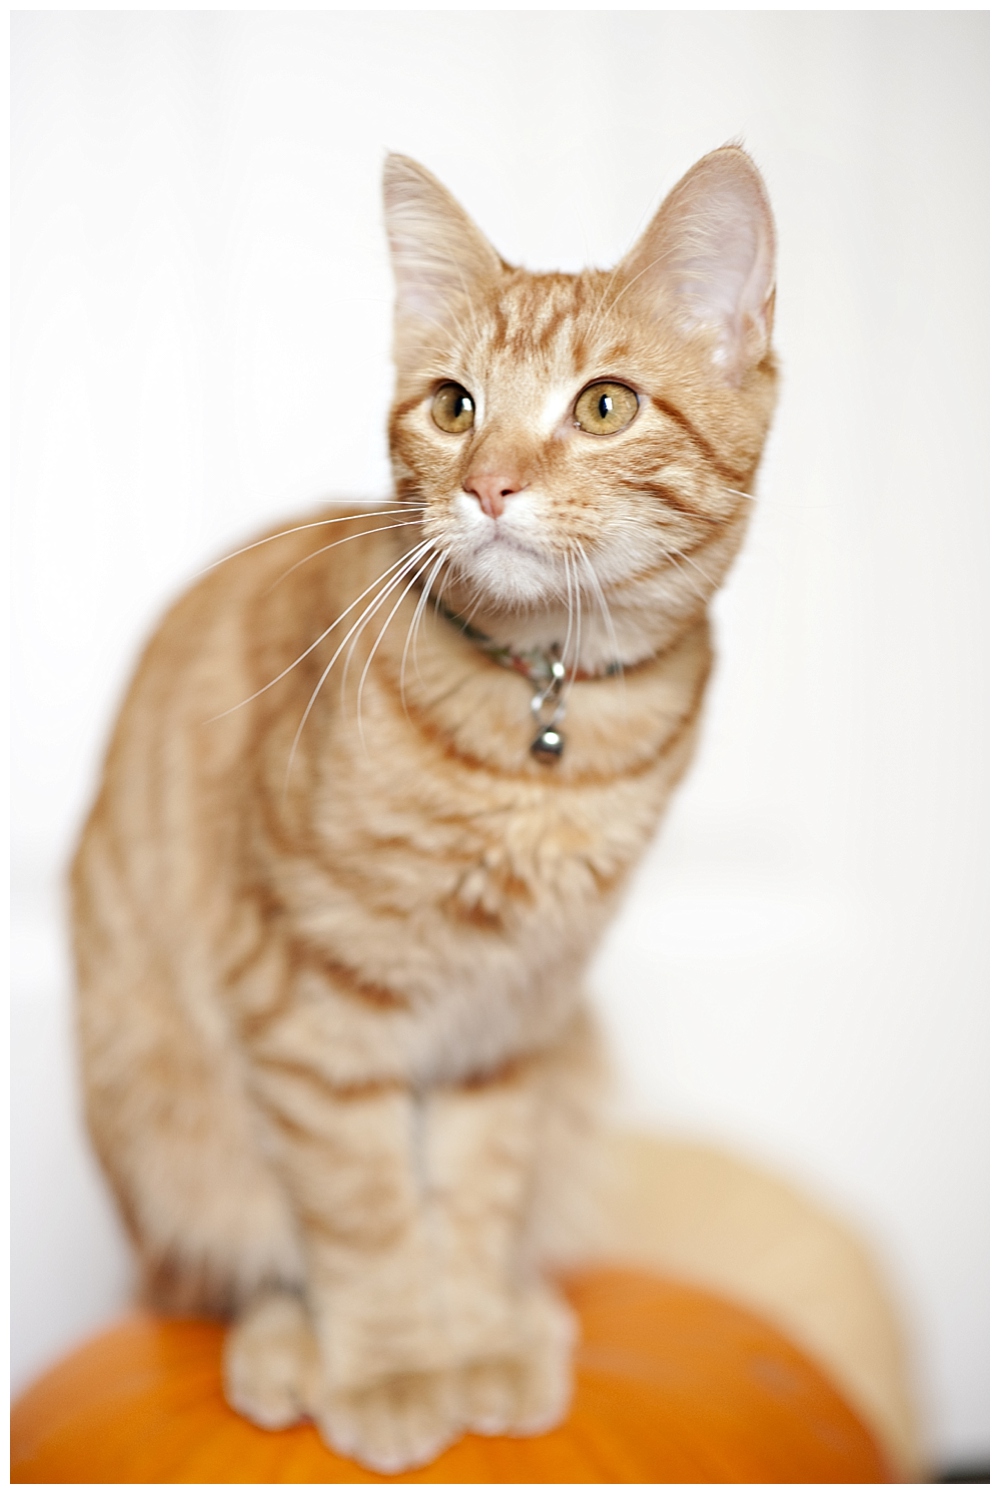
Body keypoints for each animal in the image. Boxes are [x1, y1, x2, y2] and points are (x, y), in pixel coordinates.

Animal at [72, 151, 777, 1470]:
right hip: (153, 1093)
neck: (543, 716)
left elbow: (474, 1192)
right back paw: (286, 1348)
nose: (488, 484)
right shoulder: (313, 1015)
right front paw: (398, 1369)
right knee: (230, 1260)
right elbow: (363, 1214)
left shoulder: (511, 1024)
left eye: (604, 407)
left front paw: (476, 1339)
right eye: (452, 407)